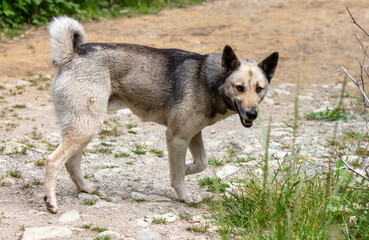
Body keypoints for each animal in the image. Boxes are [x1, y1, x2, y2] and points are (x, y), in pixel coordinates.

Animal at [43, 15, 278, 214]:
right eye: (239, 87)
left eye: (259, 89)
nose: (252, 114)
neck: (207, 80)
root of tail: (71, 55)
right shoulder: (177, 137)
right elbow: (179, 175)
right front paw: (185, 195)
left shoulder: (193, 134)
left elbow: (201, 162)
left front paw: (187, 167)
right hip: (87, 127)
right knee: (53, 161)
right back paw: (51, 202)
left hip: (82, 128)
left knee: (71, 162)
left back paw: (86, 189)